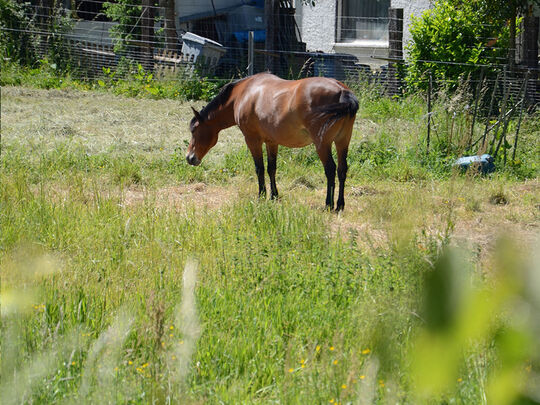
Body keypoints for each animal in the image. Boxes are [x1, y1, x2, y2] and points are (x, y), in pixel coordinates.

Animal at [186, 73, 358, 211]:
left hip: (322, 145)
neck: (244, 93)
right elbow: (271, 168)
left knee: (330, 170)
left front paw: (261, 195)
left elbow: (259, 168)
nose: (189, 158)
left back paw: (328, 204)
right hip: (342, 142)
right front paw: (274, 195)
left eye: (194, 130)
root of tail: (342, 91)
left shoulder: (252, 140)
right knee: (342, 170)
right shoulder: (271, 142)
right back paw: (340, 205)